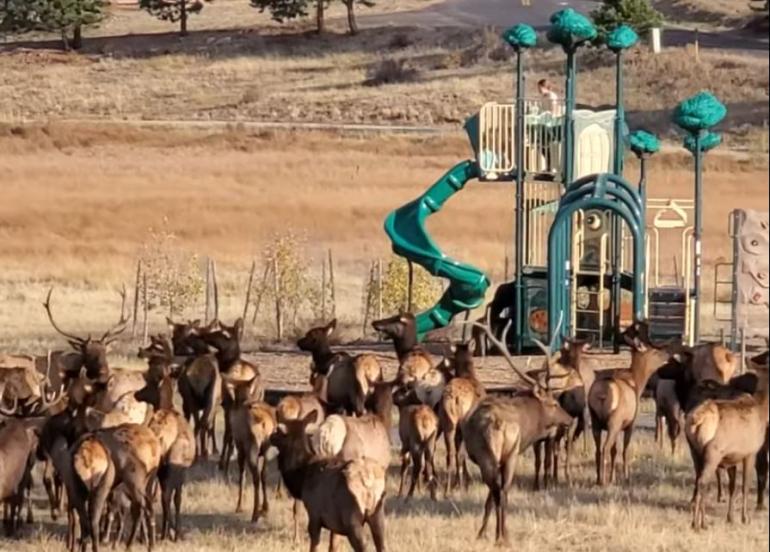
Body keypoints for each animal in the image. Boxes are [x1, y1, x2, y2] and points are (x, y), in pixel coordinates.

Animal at [271, 410, 387, 552]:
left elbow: (314, 544)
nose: (270, 437)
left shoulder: (314, 513)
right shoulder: (333, 522)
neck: (301, 477)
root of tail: (368, 481)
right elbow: (333, 545)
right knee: (382, 546)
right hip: (377, 515)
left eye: (278, 431)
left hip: (352, 520)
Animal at [461, 319, 573, 544]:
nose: (569, 420)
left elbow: (490, 497)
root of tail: (497, 424)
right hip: (510, 453)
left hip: (490, 456)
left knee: (497, 490)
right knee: (502, 490)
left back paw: (499, 535)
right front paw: (487, 532)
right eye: (555, 403)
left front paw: (482, 532)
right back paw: (504, 535)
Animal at [588, 323, 673, 486]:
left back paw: (598, 478)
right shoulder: (630, 423)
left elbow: (615, 450)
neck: (638, 382)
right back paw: (603, 481)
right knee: (605, 448)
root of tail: (601, 395)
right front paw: (626, 477)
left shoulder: (619, 425)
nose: (668, 356)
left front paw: (613, 478)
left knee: (598, 449)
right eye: (654, 351)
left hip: (595, 420)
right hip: (613, 421)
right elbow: (625, 450)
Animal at [686, 358, 769, 530]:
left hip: (695, 450)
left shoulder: (731, 457)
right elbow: (744, 485)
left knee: (698, 480)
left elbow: (732, 486)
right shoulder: (751, 451)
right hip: (713, 451)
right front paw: (745, 518)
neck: (763, 410)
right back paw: (699, 523)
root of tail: (696, 421)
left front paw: (730, 517)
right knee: (703, 482)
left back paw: (698, 521)